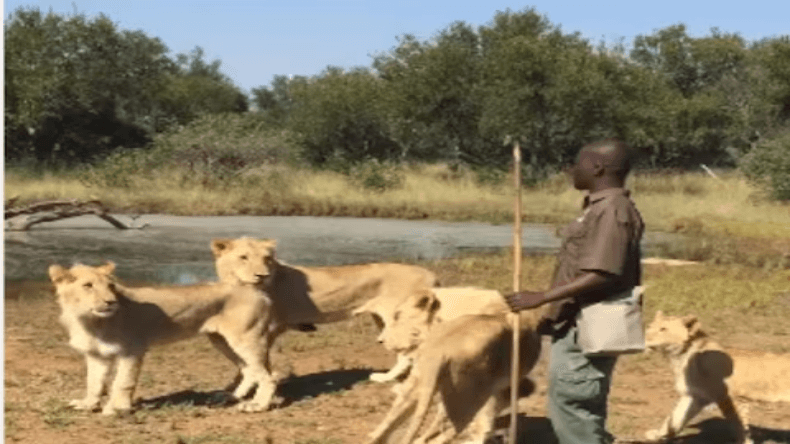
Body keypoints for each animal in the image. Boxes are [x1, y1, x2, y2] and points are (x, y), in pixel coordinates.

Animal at [50, 262, 278, 414]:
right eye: (88, 285)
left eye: (111, 286)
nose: (110, 302)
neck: (86, 319)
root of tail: (256, 290)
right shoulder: (97, 355)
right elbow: (94, 382)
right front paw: (87, 404)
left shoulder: (132, 350)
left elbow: (123, 382)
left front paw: (116, 409)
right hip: (221, 341)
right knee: (248, 369)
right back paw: (230, 396)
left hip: (246, 339)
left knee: (269, 376)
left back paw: (257, 405)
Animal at [212, 236, 440, 386]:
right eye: (243, 257)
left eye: (267, 258)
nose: (262, 275)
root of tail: (431, 274)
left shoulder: (267, 328)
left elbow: (257, 360)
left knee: (410, 353)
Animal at [644, 310, 790, 442]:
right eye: (649, 326)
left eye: (663, 329)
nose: (645, 338)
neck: (680, 358)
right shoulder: (695, 396)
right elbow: (675, 418)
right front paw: (657, 435)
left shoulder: (729, 397)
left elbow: (738, 424)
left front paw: (745, 441)